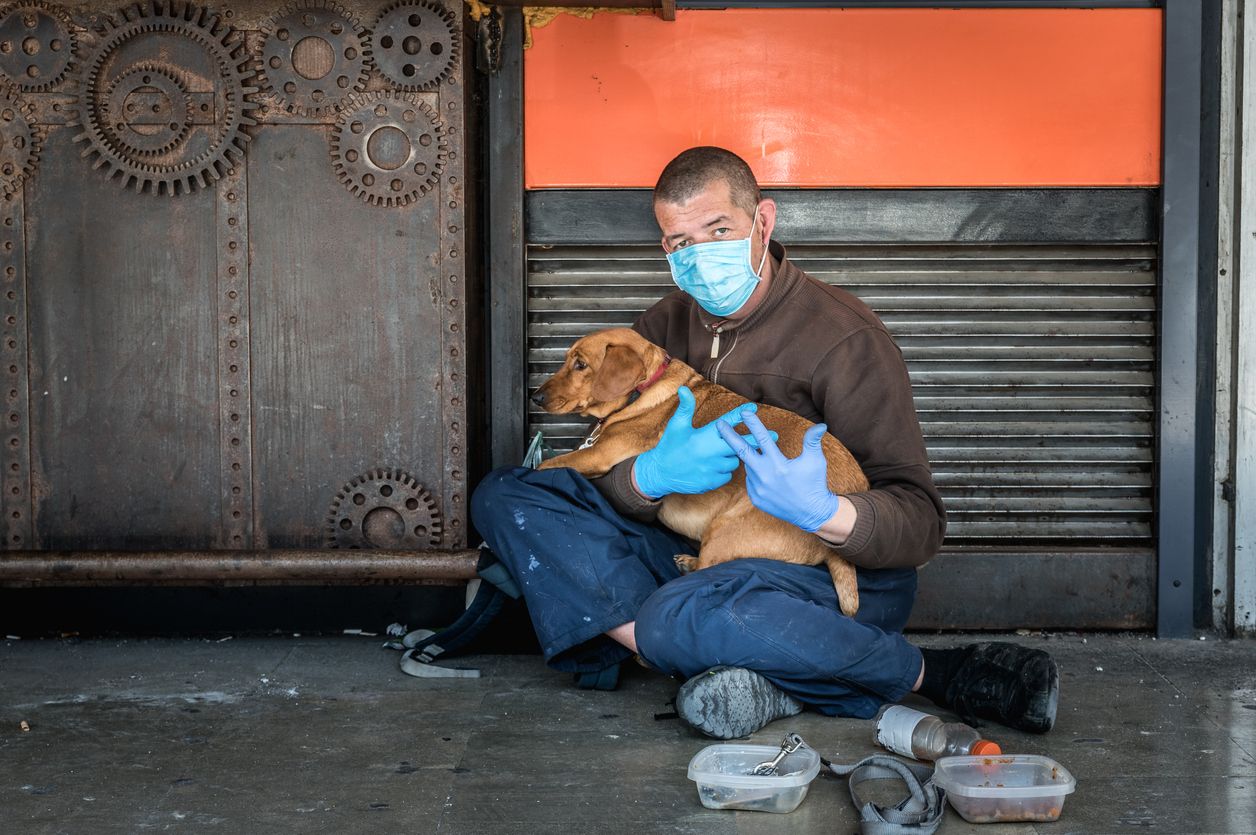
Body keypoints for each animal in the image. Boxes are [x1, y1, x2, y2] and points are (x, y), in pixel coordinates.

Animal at [530, 328, 864, 615]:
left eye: (581, 364)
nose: (536, 397)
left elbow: (546, 466)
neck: (644, 390)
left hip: (725, 528)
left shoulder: (597, 455)